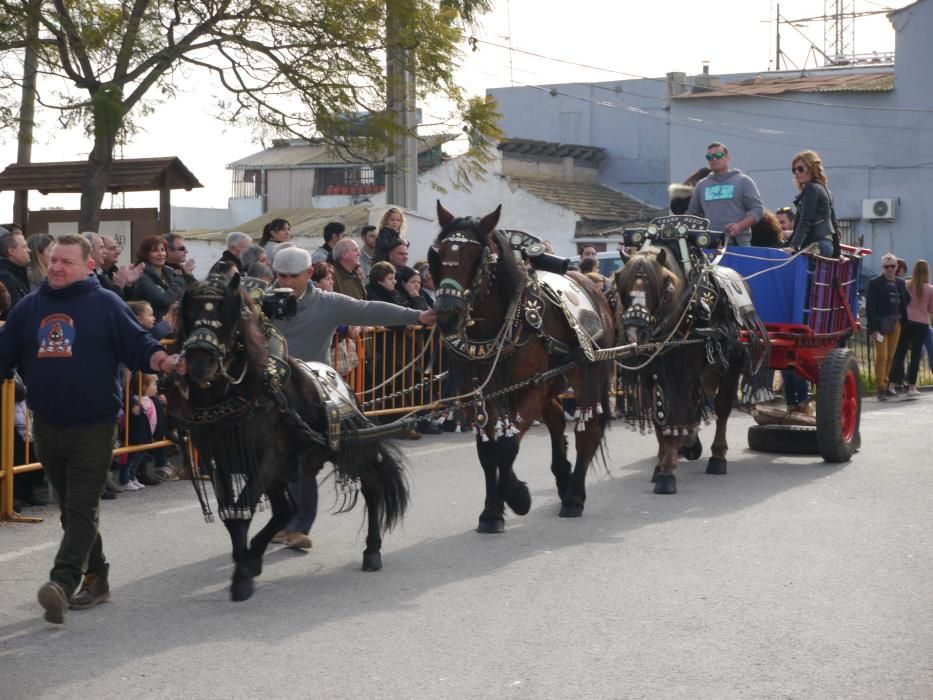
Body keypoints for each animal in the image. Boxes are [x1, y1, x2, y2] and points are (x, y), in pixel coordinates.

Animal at [167, 276, 408, 600]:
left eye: (228, 316)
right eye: (189, 314)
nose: (199, 364)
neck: (240, 396)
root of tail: (342, 380)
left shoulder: (265, 461)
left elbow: (243, 511)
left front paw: (242, 575)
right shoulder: (218, 461)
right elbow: (232, 514)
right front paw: (246, 561)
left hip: (349, 451)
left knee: (372, 490)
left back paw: (372, 552)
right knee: (287, 509)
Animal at [426, 202, 616, 532]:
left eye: (476, 258)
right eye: (439, 255)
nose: (447, 315)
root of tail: (592, 285)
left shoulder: (530, 388)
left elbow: (507, 446)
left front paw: (516, 495)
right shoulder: (479, 396)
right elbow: (488, 452)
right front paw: (491, 512)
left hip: (585, 374)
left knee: (587, 430)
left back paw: (574, 496)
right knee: (556, 418)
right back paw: (563, 476)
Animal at [616, 243, 768, 494]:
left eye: (665, 285)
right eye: (621, 281)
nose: (634, 332)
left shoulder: (682, 373)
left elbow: (676, 414)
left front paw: (667, 472)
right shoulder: (653, 374)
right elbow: (661, 418)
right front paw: (662, 463)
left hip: (729, 365)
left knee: (722, 409)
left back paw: (717, 456)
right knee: (695, 406)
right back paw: (689, 441)